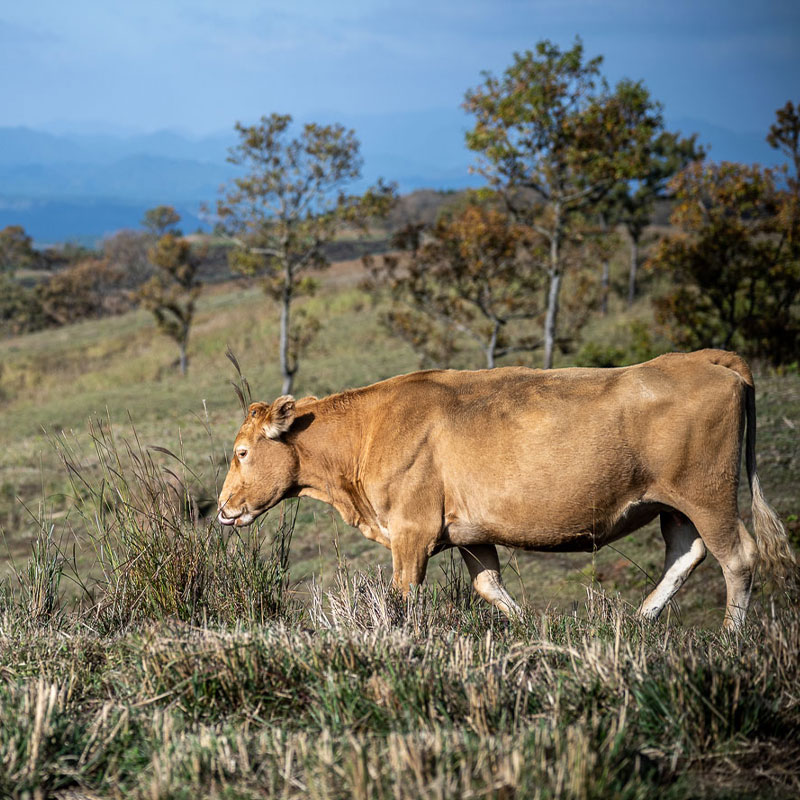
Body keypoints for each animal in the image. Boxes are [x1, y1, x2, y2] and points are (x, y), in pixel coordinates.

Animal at [216, 352, 796, 632]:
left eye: (241, 452)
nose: (222, 509)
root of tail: (700, 358)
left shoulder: (411, 531)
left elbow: (404, 596)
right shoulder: (472, 533)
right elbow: (489, 586)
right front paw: (528, 628)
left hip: (708, 495)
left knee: (738, 557)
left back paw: (730, 639)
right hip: (671, 504)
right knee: (686, 553)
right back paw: (640, 619)